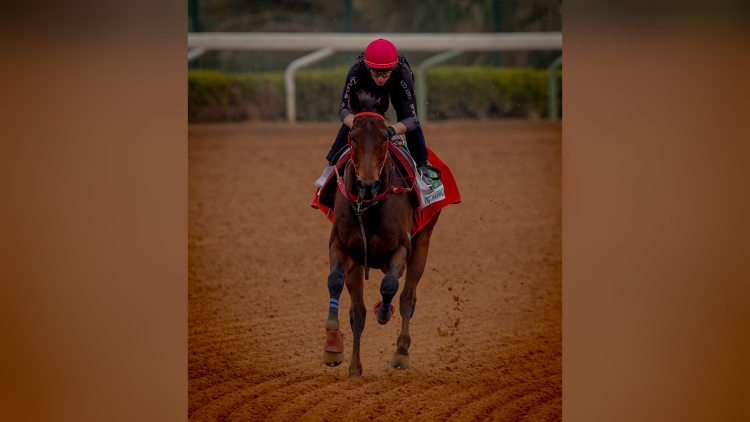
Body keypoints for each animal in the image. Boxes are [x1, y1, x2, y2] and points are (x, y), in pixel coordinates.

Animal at [324, 90, 440, 380]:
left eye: (384, 137)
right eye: (352, 135)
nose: (367, 184)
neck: (368, 205)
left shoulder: (401, 249)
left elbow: (390, 286)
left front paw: (384, 314)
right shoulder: (342, 246)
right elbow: (336, 282)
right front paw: (333, 344)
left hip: (423, 242)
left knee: (407, 298)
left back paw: (401, 353)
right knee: (358, 311)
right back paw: (354, 365)